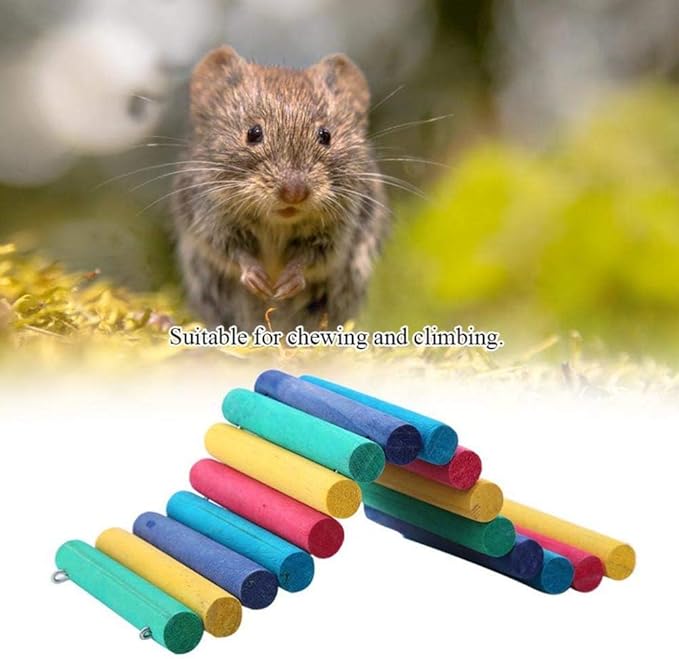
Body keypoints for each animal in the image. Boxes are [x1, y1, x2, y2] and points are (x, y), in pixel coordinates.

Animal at [171, 45, 389, 332]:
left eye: (325, 135)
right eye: (253, 133)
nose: (294, 193)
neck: (278, 223)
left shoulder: (338, 232)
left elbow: (310, 259)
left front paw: (286, 283)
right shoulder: (210, 220)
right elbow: (233, 253)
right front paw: (258, 280)